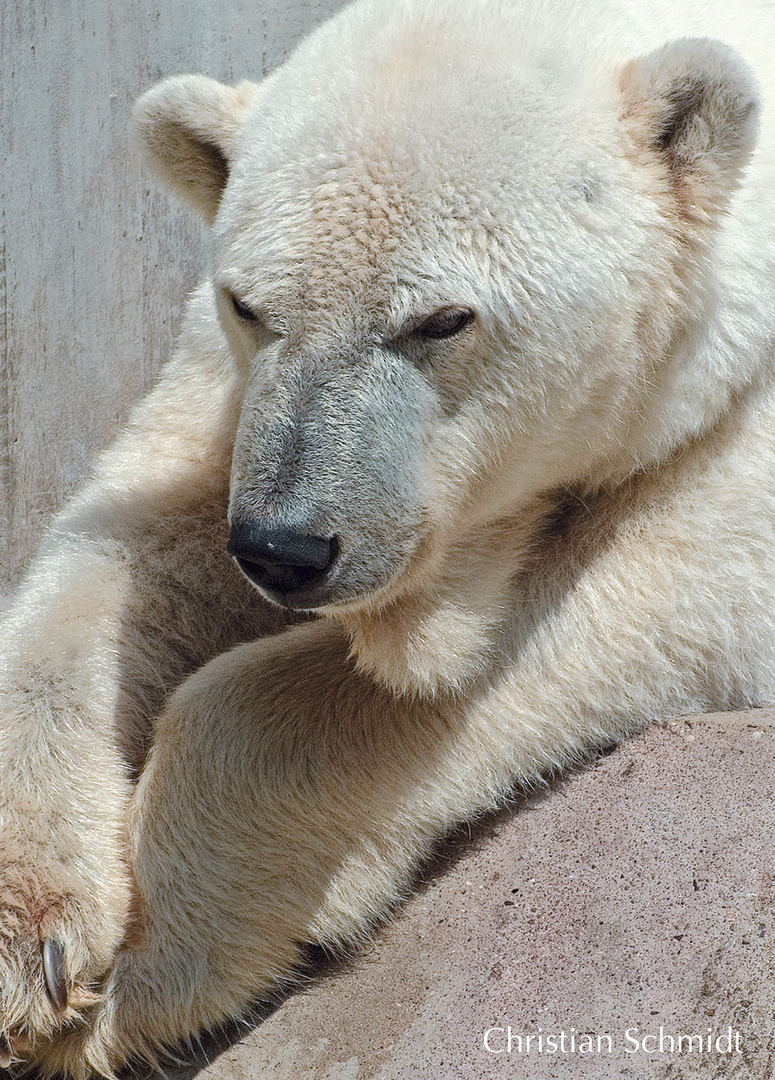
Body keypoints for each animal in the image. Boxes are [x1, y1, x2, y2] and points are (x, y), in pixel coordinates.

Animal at [1, 0, 775, 1071]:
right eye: (249, 304)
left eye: (442, 320)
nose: (284, 548)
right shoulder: (230, 392)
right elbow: (133, 538)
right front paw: (41, 946)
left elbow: (658, 575)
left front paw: (154, 965)